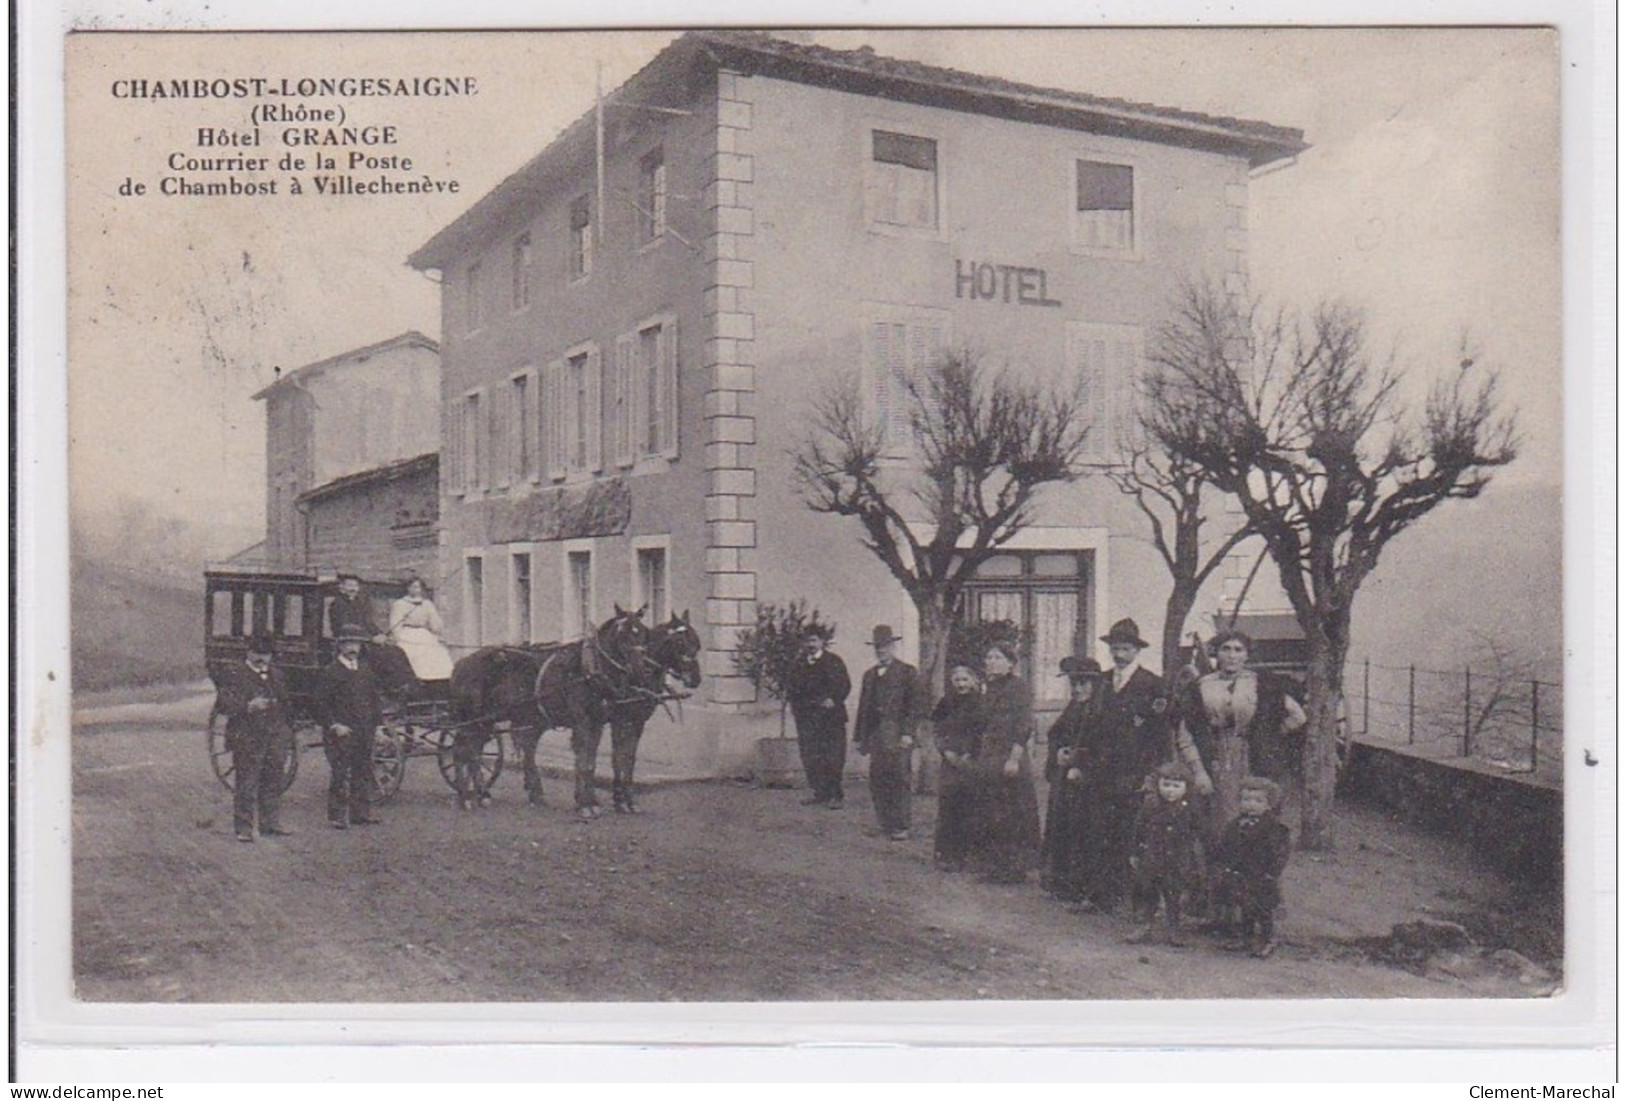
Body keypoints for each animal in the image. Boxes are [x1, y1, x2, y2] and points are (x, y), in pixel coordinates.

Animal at [445, 604, 698, 818]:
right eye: (623, 634)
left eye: (696, 642)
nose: (696, 678)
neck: (592, 670)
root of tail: (461, 663)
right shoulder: (600, 721)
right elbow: (596, 760)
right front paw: (589, 804)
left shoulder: (609, 722)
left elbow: (609, 760)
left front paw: (608, 801)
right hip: (473, 719)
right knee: (461, 750)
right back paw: (466, 796)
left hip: (495, 721)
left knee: (486, 752)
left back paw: (495, 794)